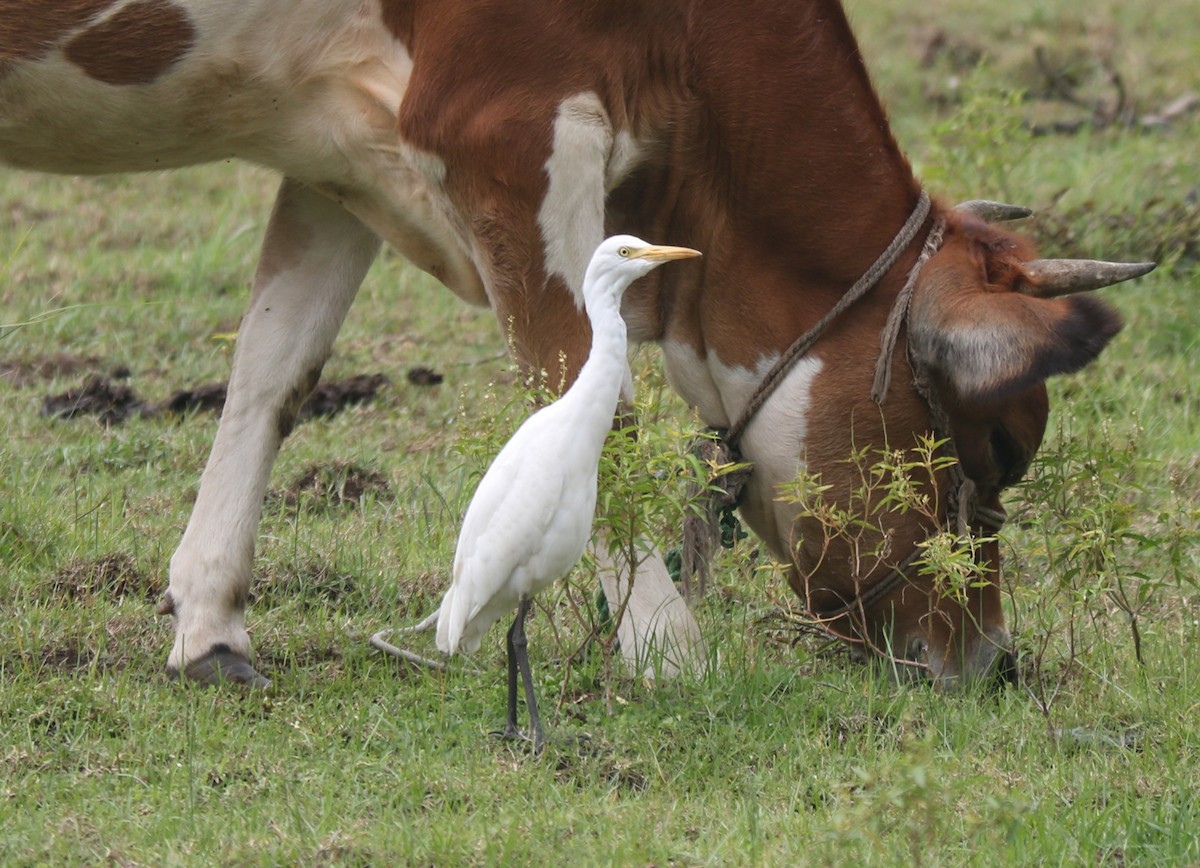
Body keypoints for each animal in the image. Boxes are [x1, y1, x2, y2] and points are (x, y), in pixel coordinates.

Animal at [0, 3, 1147, 691]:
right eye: (1001, 447)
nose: (992, 659)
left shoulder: (335, 149)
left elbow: (272, 377)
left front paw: (210, 622)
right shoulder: (508, 134)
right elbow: (589, 397)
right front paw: (667, 647)